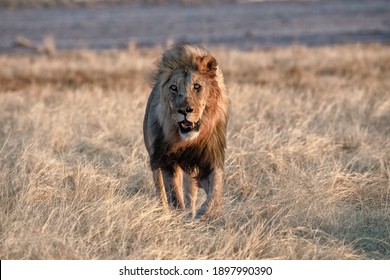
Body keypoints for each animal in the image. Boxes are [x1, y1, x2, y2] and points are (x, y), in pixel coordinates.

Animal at [143, 43, 229, 219]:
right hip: (154, 157)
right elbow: (174, 195)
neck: (188, 140)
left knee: (191, 194)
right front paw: (178, 217)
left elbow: (215, 187)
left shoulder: (210, 157)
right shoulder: (167, 159)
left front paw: (207, 212)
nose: (184, 110)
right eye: (173, 88)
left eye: (197, 86)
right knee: (160, 190)